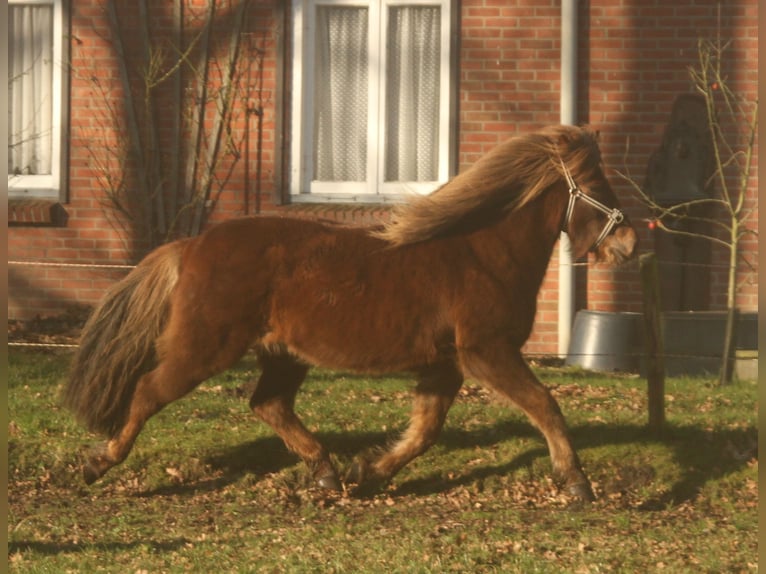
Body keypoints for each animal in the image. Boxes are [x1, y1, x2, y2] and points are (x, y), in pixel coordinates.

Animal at [63, 125, 640, 504]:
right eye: (596, 184)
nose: (630, 243)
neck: (482, 252)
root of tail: (191, 246)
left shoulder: (446, 364)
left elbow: (425, 430)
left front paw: (368, 470)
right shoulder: (487, 353)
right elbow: (545, 405)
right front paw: (577, 483)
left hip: (283, 355)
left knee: (268, 405)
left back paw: (327, 473)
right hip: (204, 348)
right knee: (148, 392)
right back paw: (96, 464)